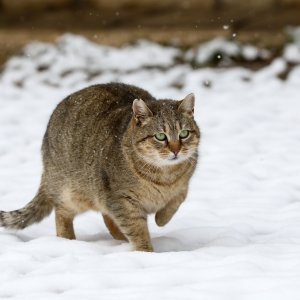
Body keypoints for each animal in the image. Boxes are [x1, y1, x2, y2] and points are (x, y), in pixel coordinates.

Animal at [1, 83, 202, 252]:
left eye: (184, 134)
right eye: (160, 136)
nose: (176, 150)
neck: (165, 175)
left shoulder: (184, 183)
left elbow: (177, 199)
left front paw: (161, 218)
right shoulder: (122, 199)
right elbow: (137, 230)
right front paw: (146, 251)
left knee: (107, 218)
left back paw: (120, 239)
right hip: (73, 192)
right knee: (61, 213)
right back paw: (67, 241)